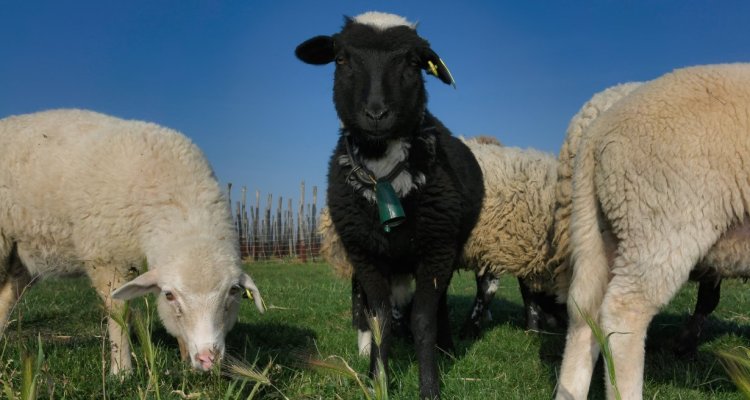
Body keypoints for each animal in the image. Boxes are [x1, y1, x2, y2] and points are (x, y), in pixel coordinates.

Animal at [0, 109, 265, 374]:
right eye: (169, 295)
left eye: (233, 291)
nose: (207, 358)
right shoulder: (108, 259)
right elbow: (120, 315)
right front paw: (122, 370)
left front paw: (184, 360)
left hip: (21, 252)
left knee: (8, 293)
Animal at [296, 12, 484, 399]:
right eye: (341, 59)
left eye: (413, 63)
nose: (376, 113)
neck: (384, 169)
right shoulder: (364, 253)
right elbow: (379, 317)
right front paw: (377, 378)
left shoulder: (437, 249)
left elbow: (423, 320)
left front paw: (429, 386)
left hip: (447, 247)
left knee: (440, 303)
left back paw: (446, 347)